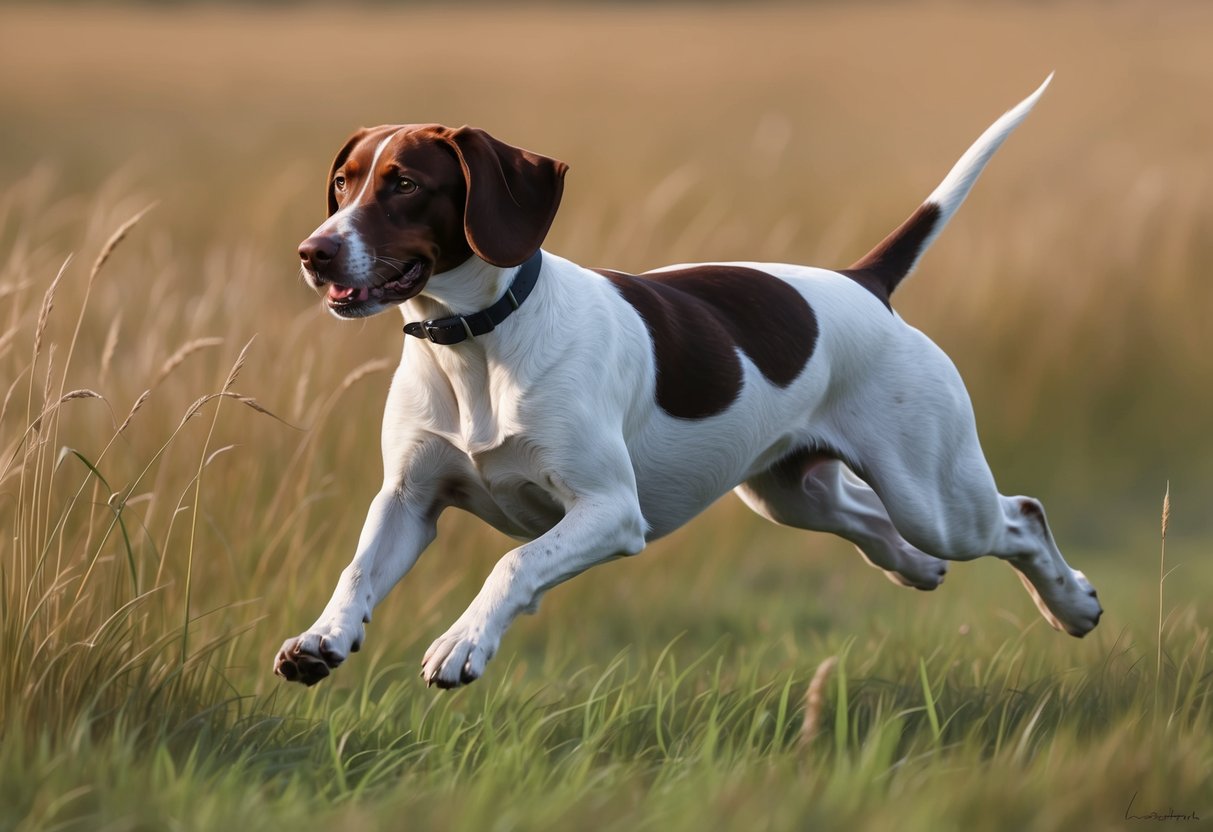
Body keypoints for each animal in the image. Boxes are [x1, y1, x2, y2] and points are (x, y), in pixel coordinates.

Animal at [275, 76, 1101, 688]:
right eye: (342, 182)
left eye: (405, 184)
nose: (312, 252)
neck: (476, 346)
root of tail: (863, 282)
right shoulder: (408, 501)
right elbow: (357, 570)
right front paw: (321, 639)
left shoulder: (610, 511)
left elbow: (514, 563)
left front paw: (463, 642)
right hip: (791, 493)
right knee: (871, 522)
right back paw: (919, 568)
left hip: (932, 494)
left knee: (1019, 515)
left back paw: (1072, 606)